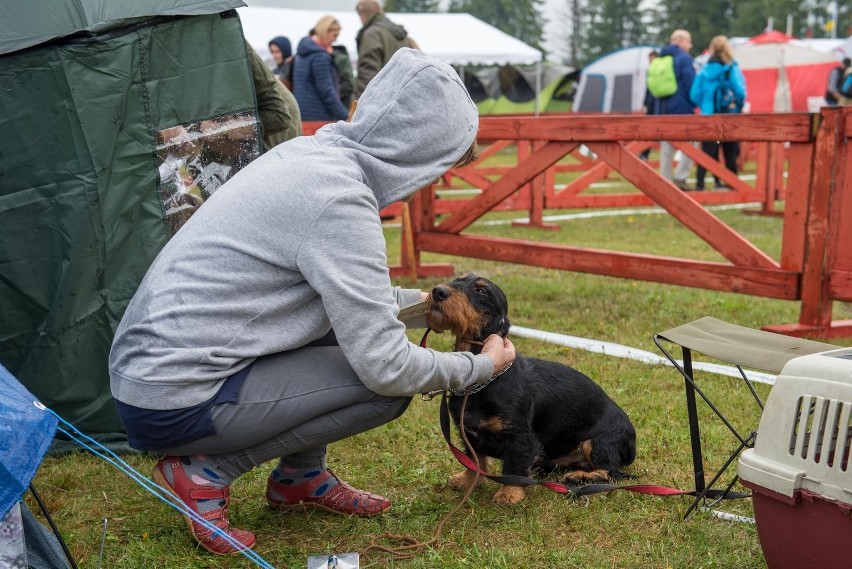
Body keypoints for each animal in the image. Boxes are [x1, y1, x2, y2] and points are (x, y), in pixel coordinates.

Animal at [422, 272, 636, 504]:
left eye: (481, 291)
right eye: (456, 279)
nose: (437, 292)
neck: (484, 382)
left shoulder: (520, 437)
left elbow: (514, 466)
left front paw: (509, 494)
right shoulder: (468, 433)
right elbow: (473, 459)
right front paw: (467, 481)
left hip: (598, 443)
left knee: (611, 473)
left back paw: (578, 477)